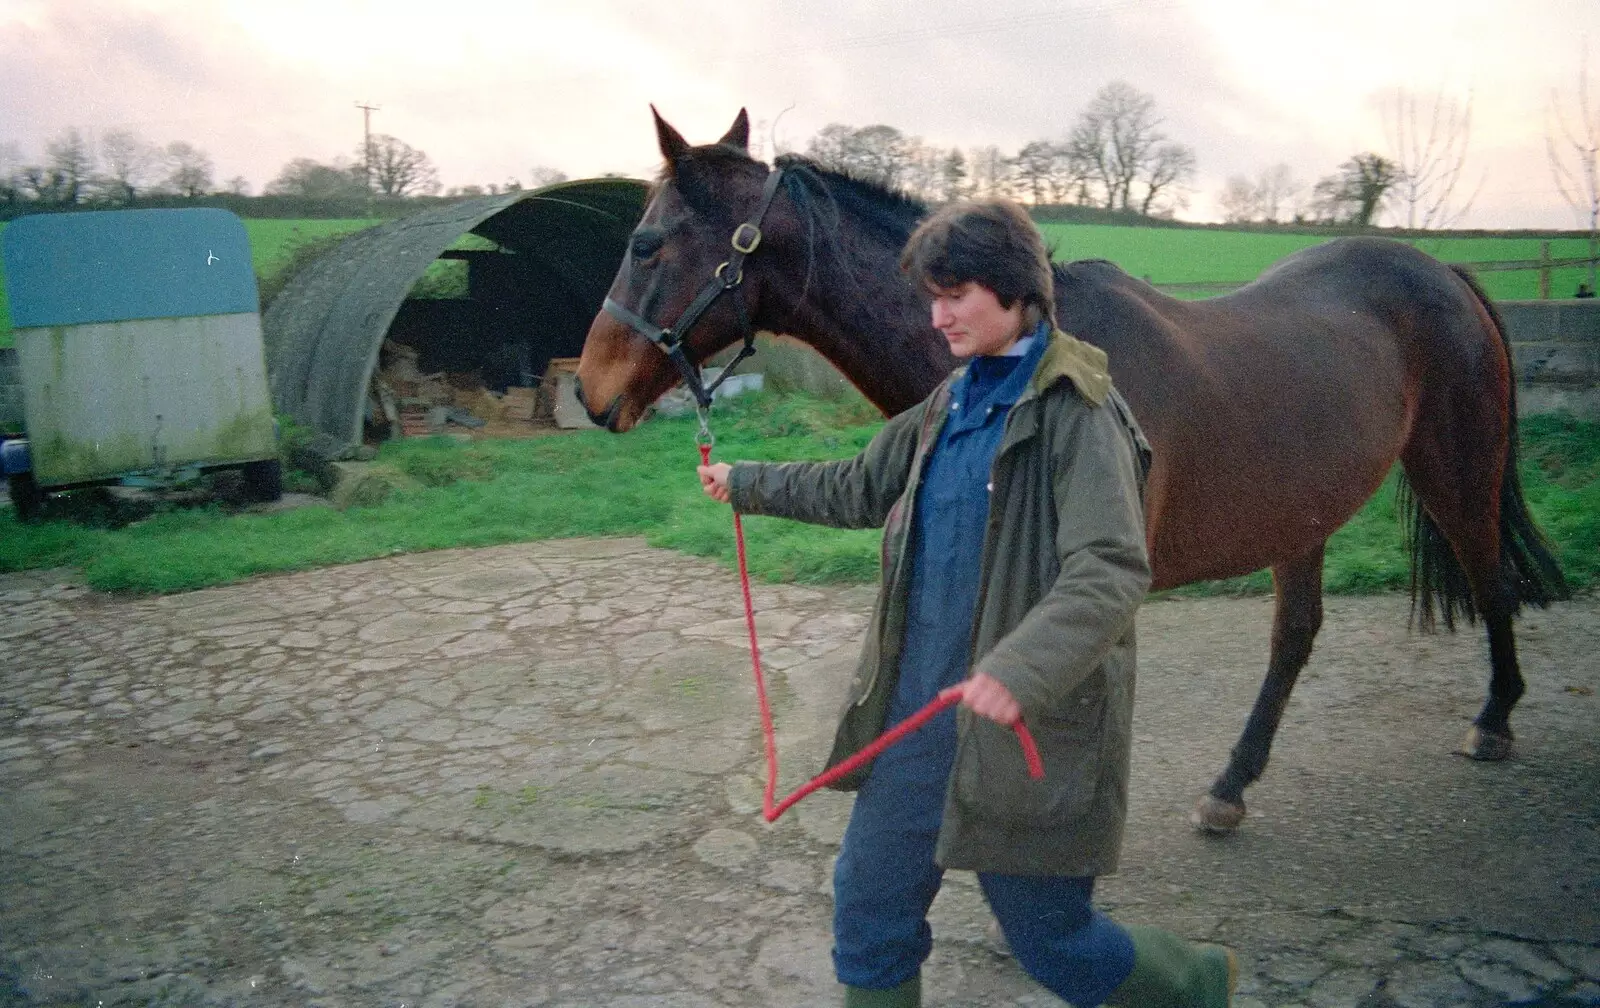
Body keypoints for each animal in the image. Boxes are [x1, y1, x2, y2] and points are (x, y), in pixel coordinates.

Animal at [572, 112, 1561, 838]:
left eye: (648, 242)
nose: (589, 390)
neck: (1030, 356)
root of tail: (1444, 274)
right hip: (1304, 512)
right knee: (1296, 638)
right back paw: (1232, 785)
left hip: (1456, 473)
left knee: (1492, 584)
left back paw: (1496, 721)